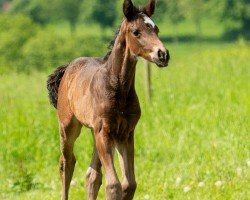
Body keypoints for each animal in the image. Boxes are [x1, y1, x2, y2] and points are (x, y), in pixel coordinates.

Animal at [47, 0, 170, 199]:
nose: (163, 54)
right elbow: (113, 185)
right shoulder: (104, 132)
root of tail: (68, 68)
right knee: (66, 163)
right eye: (136, 32)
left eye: (156, 29)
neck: (117, 88)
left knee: (92, 175)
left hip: (95, 132)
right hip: (68, 127)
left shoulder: (125, 133)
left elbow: (129, 184)